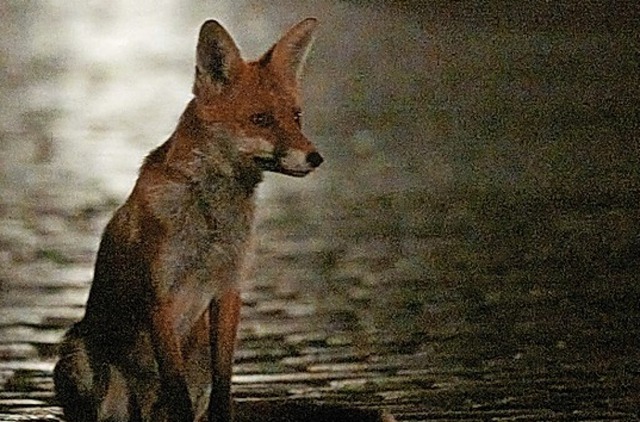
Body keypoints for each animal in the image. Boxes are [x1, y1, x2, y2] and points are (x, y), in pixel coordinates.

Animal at [53, 17, 324, 422]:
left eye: (296, 116)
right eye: (260, 119)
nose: (315, 158)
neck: (211, 221)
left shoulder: (228, 289)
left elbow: (223, 391)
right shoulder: (160, 297)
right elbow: (176, 390)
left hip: (197, 362)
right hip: (83, 364)